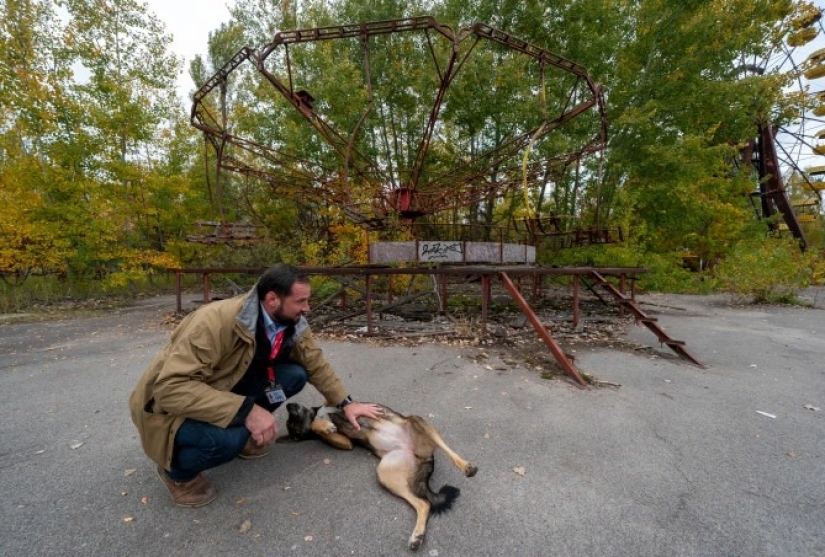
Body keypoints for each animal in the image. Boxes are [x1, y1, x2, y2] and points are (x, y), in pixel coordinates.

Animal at [284, 402, 476, 548]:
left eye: (292, 421)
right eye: (292, 426)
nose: (288, 405)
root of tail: (422, 457)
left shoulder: (339, 413)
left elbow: (320, 421)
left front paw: (322, 424)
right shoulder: (344, 442)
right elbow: (319, 428)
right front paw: (323, 426)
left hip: (416, 421)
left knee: (447, 451)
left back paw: (467, 467)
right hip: (385, 475)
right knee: (423, 504)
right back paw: (417, 537)